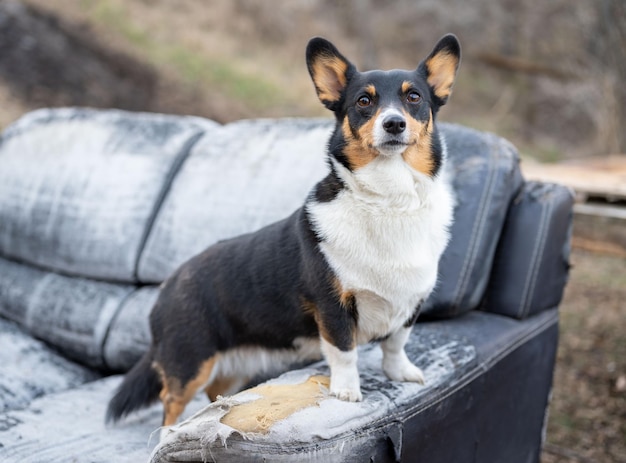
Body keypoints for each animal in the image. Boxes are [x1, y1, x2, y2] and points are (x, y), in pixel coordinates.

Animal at [106, 34, 458, 430]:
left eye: (414, 97)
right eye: (363, 101)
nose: (394, 124)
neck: (389, 201)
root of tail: (167, 286)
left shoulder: (411, 302)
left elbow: (396, 343)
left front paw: (401, 373)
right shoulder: (332, 306)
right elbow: (345, 351)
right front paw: (346, 392)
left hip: (231, 369)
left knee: (217, 396)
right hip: (191, 360)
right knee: (171, 404)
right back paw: (167, 435)